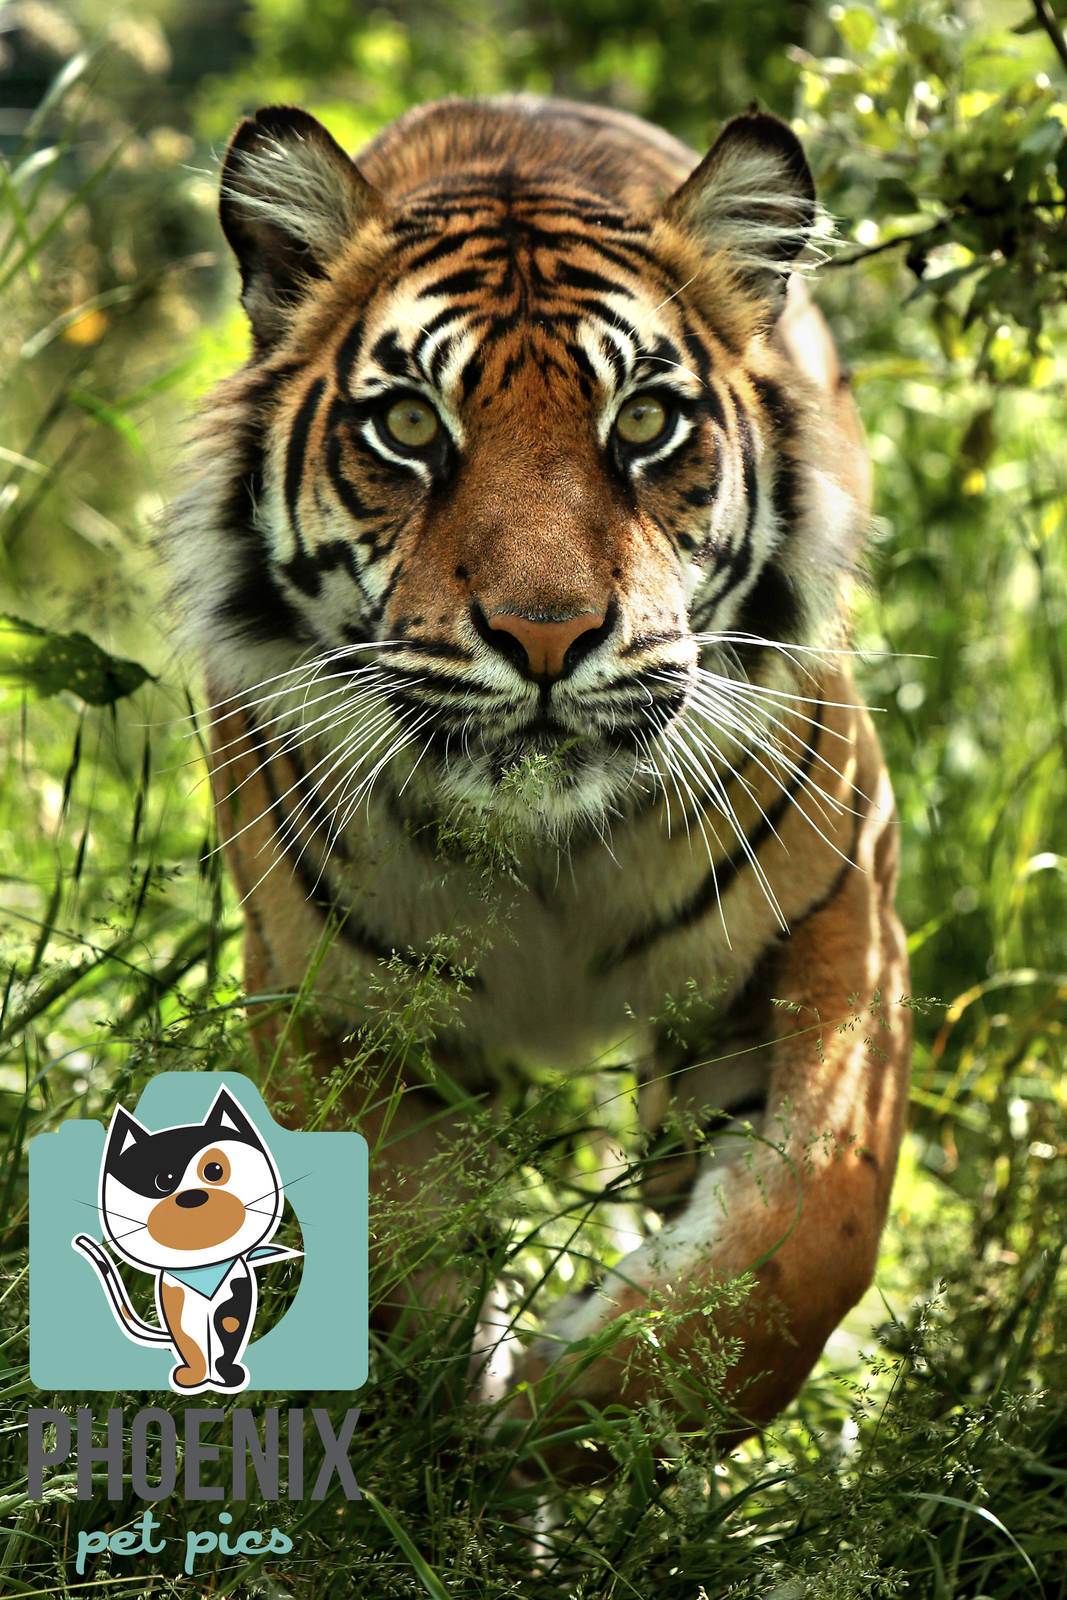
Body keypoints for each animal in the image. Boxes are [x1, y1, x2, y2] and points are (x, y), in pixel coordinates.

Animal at [168, 93, 910, 1463]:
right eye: (410, 427)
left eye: (643, 423)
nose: (548, 633)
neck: (551, 850)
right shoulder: (333, 1003)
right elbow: (391, 1264)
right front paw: (452, 1444)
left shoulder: (832, 915)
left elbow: (807, 1224)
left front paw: (582, 1410)